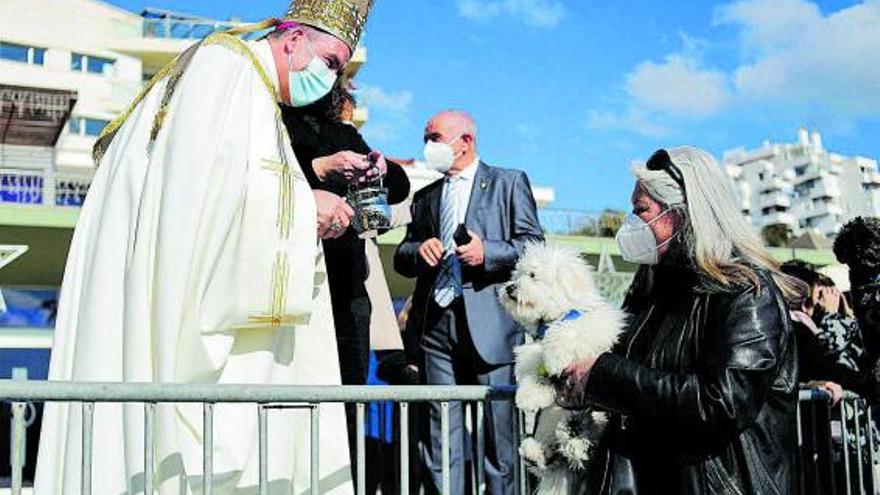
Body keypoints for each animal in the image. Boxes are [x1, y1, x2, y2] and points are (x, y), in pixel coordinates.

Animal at [496, 244, 624, 495]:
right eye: (518, 274)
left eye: (532, 275)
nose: (510, 287)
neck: (554, 316)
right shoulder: (532, 352)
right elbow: (535, 374)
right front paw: (527, 396)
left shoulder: (596, 327)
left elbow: (570, 331)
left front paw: (556, 354)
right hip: (550, 428)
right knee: (552, 457)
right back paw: (538, 451)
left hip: (597, 418)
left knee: (586, 443)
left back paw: (578, 435)